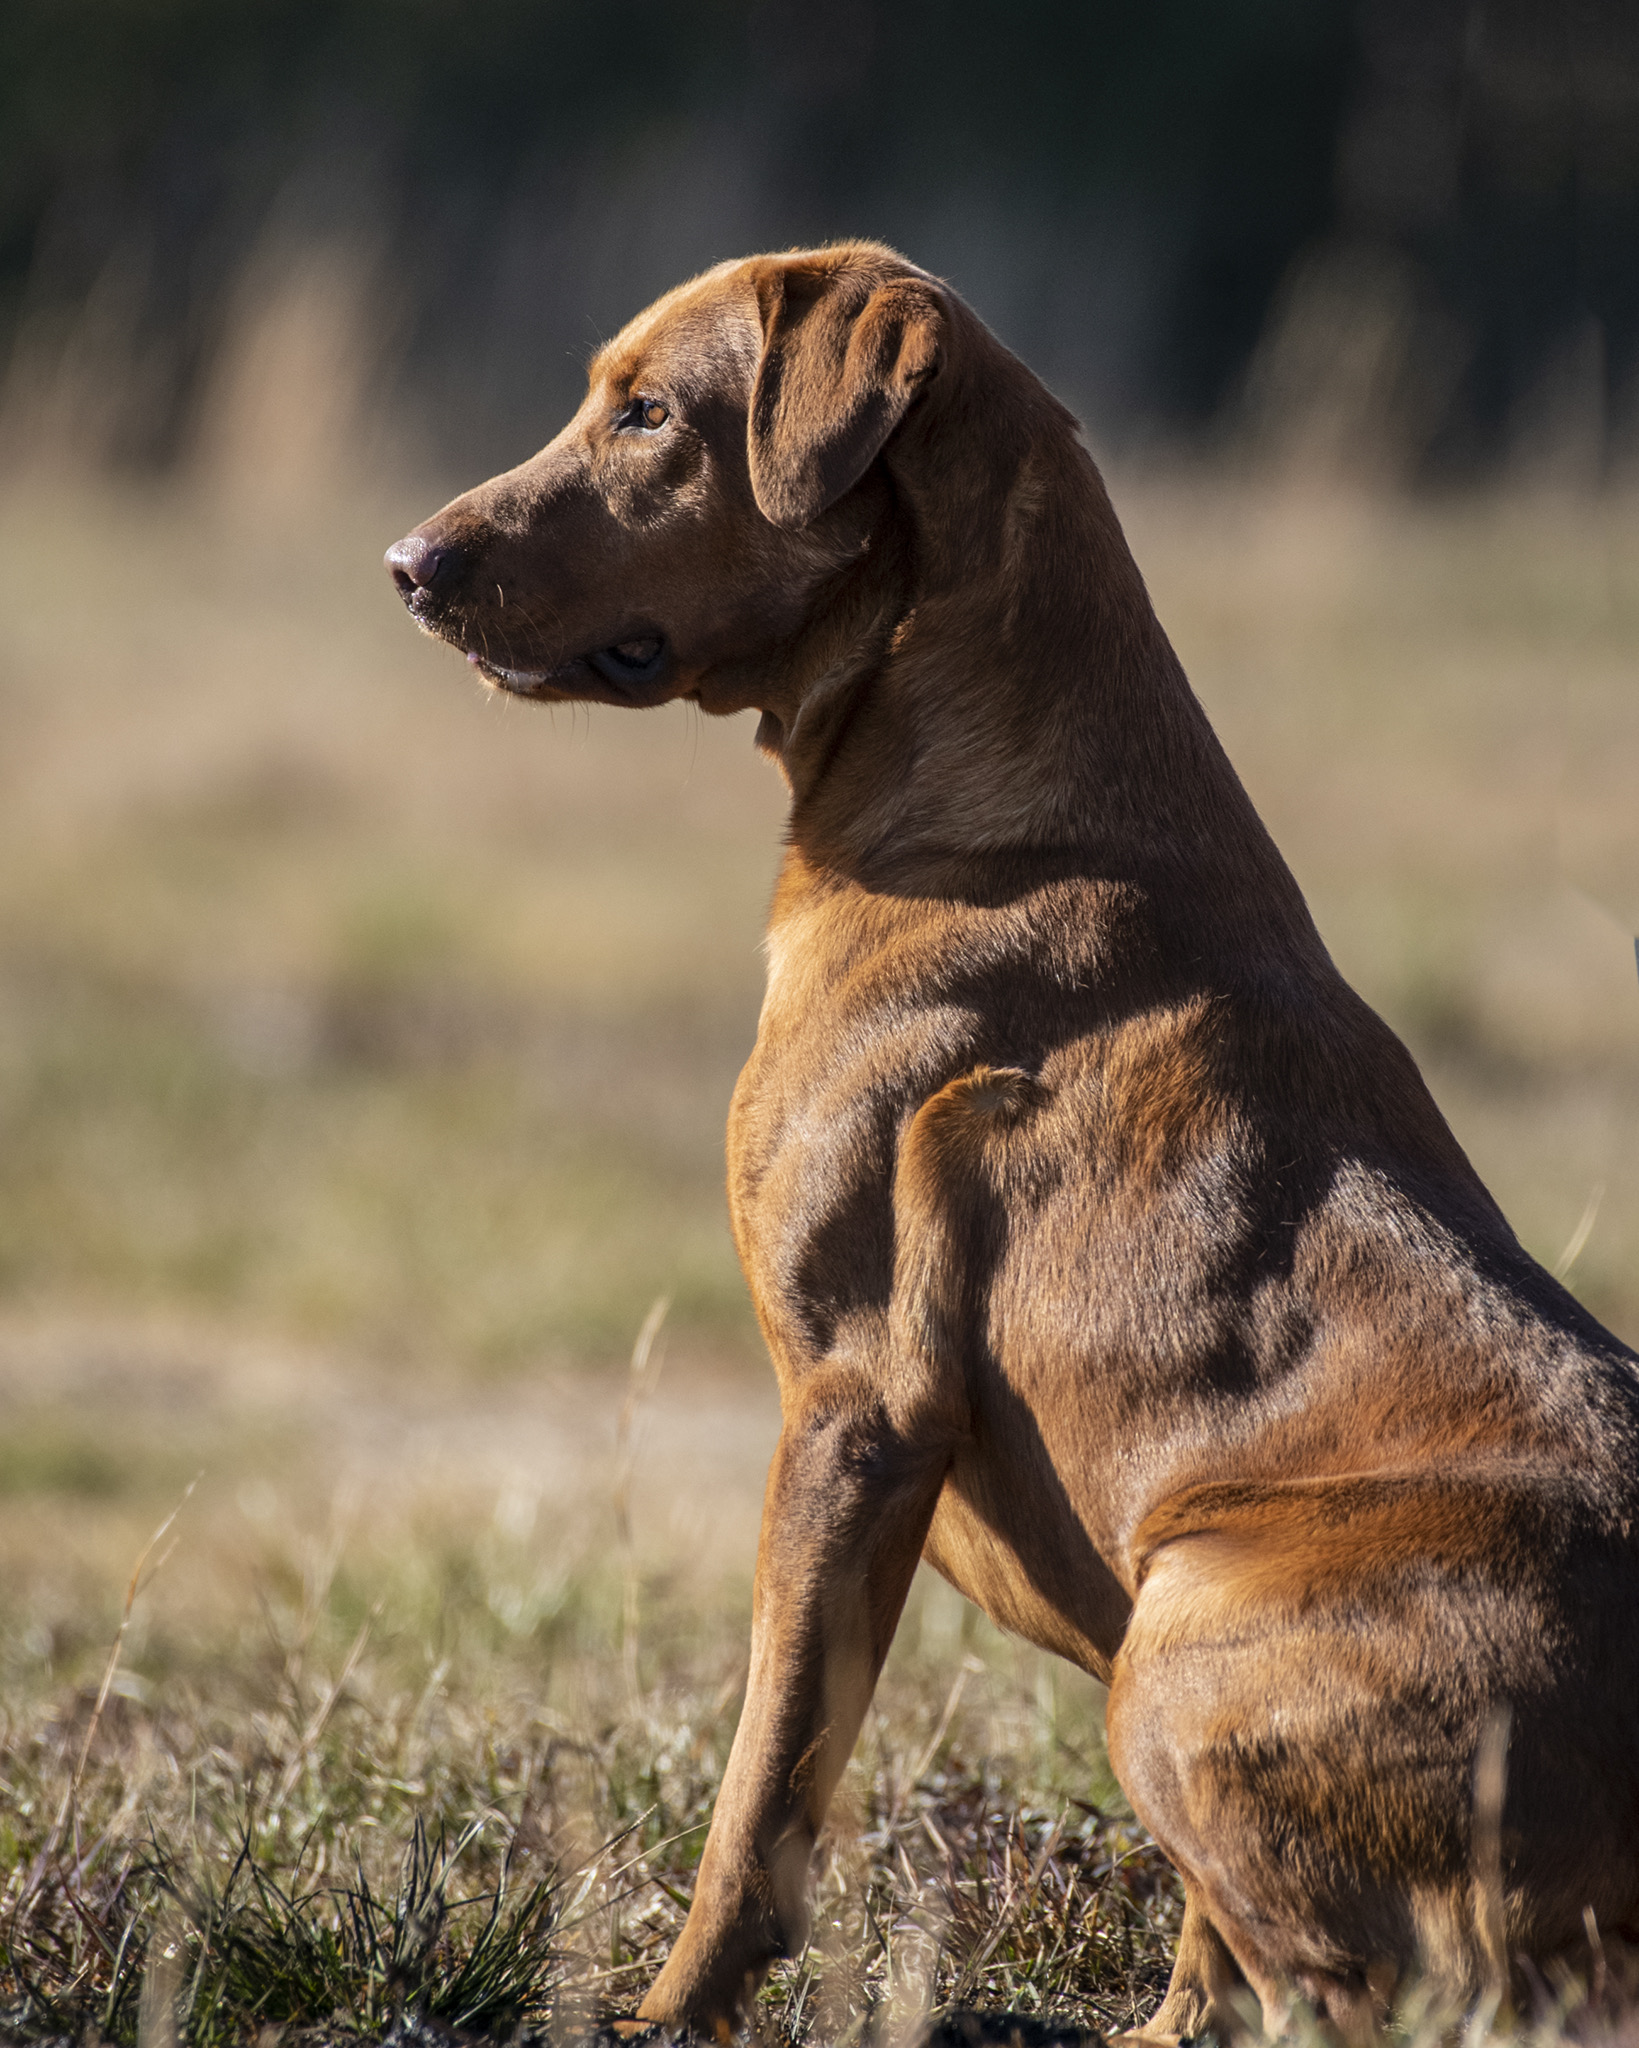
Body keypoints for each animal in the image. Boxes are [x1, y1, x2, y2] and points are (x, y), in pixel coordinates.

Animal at [387, 247, 1639, 2039]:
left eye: (646, 413)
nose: (406, 565)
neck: (988, 809)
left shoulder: (853, 1403)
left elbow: (758, 1791)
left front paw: (666, 2009)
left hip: (1181, 1637)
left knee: (1353, 1990)